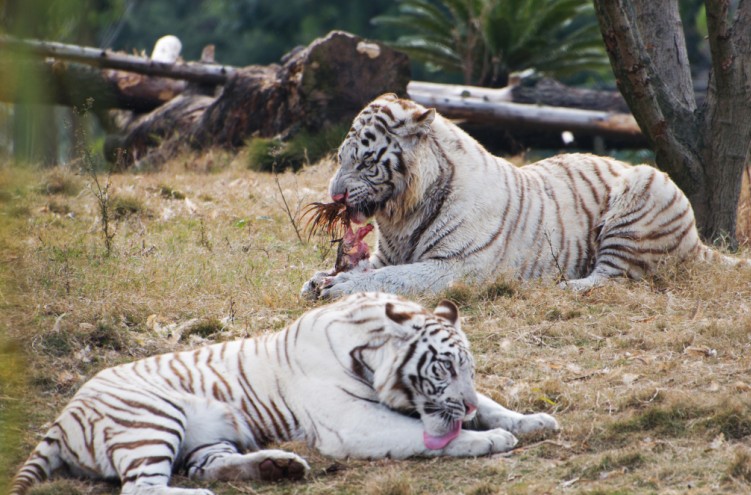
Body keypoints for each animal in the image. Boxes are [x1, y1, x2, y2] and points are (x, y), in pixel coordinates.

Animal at [11, 292, 560, 495]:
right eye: (443, 368)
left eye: (470, 368)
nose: (463, 405)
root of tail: (63, 416)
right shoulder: (353, 425)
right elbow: (423, 434)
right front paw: (488, 440)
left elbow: (495, 406)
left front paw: (533, 421)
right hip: (153, 419)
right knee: (142, 489)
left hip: (204, 438)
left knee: (206, 466)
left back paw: (279, 467)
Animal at [302, 94, 748, 300]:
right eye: (339, 158)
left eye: (364, 161)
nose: (335, 194)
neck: (402, 215)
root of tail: (697, 240)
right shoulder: (386, 254)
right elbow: (369, 268)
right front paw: (319, 279)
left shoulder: (456, 266)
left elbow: (391, 278)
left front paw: (338, 288)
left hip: (640, 194)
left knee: (612, 279)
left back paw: (563, 286)